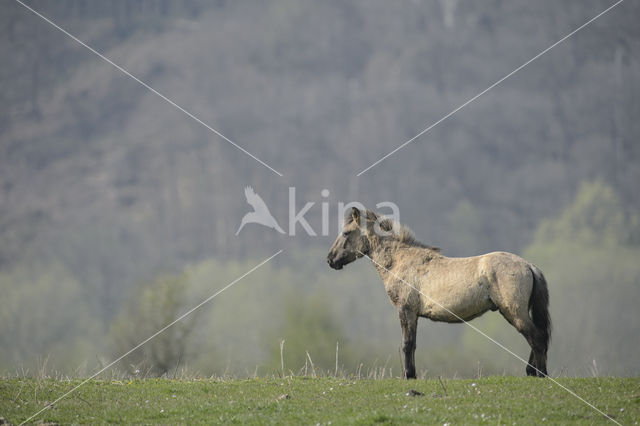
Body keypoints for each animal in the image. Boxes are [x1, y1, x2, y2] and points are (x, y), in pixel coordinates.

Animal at [324, 208, 552, 378]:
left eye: (346, 233)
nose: (330, 259)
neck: (400, 260)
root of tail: (529, 266)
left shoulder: (406, 310)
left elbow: (407, 344)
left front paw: (409, 375)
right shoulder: (413, 314)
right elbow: (413, 344)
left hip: (513, 311)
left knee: (537, 337)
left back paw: (540, 374)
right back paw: (532, 371)